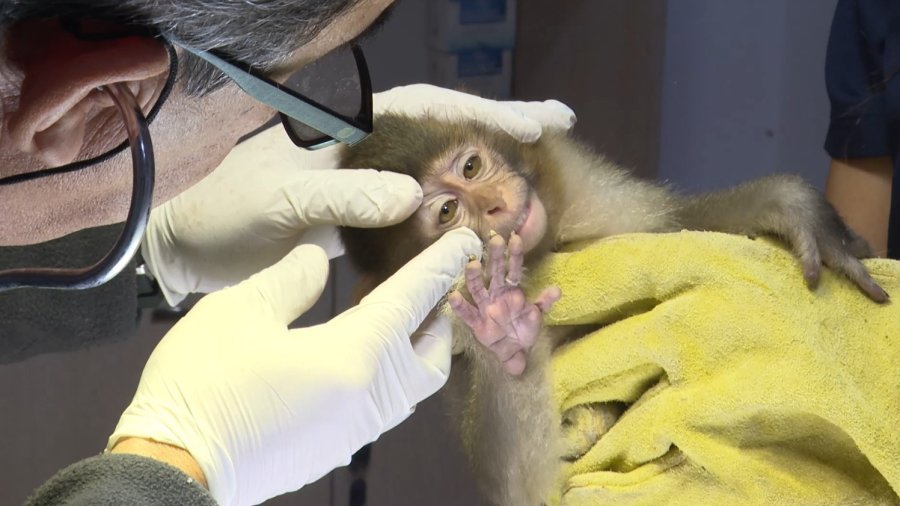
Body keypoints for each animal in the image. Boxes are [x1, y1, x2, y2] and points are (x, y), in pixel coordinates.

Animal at [336, 112, 884, 504]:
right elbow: (535, 492)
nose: (494, 203)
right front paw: (506, 331)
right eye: (448, 212)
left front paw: (789, 204)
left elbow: (674, 230)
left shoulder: (588, 189)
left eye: (471, 167)